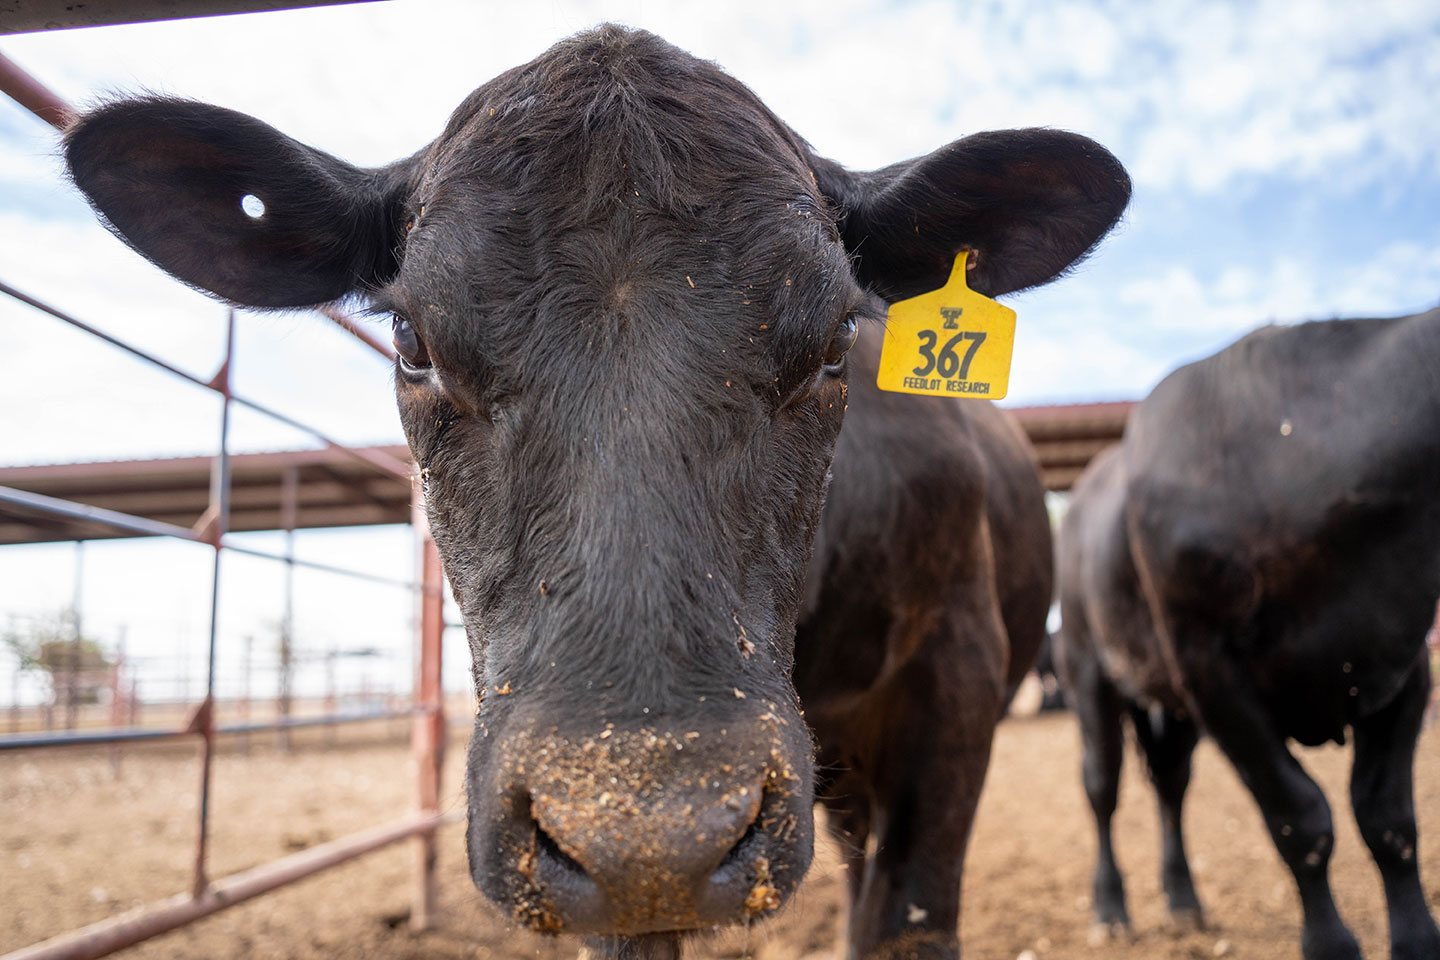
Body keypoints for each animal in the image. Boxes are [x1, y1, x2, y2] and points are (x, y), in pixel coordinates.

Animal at [1059, 309, 1440, 960]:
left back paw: (1184, 901)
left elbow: (1390, 822)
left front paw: (1416, 942)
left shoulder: (1403, 664)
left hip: (1169, 699)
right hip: (1090, 667)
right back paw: (1110, 910)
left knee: (1170, 784)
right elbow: (1300, 819)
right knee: (1102, 788)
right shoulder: (1213, 673)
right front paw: (1331, 945)